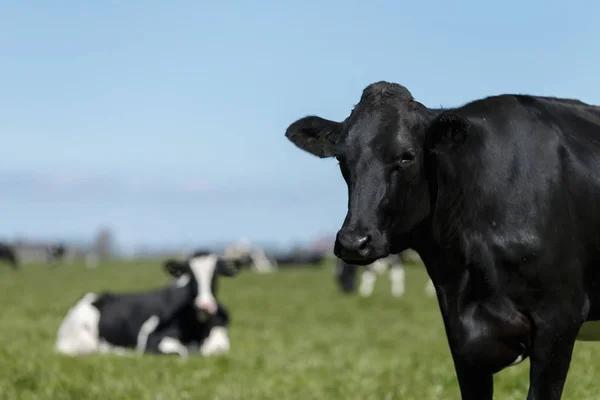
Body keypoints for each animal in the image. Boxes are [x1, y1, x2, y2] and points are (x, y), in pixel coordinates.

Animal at [55, 252, 244, 358]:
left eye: (216, 275)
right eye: (190, 275)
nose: (205, 306)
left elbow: (216, 350)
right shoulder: (151, 339)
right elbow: (181, 352)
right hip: (80, 343)